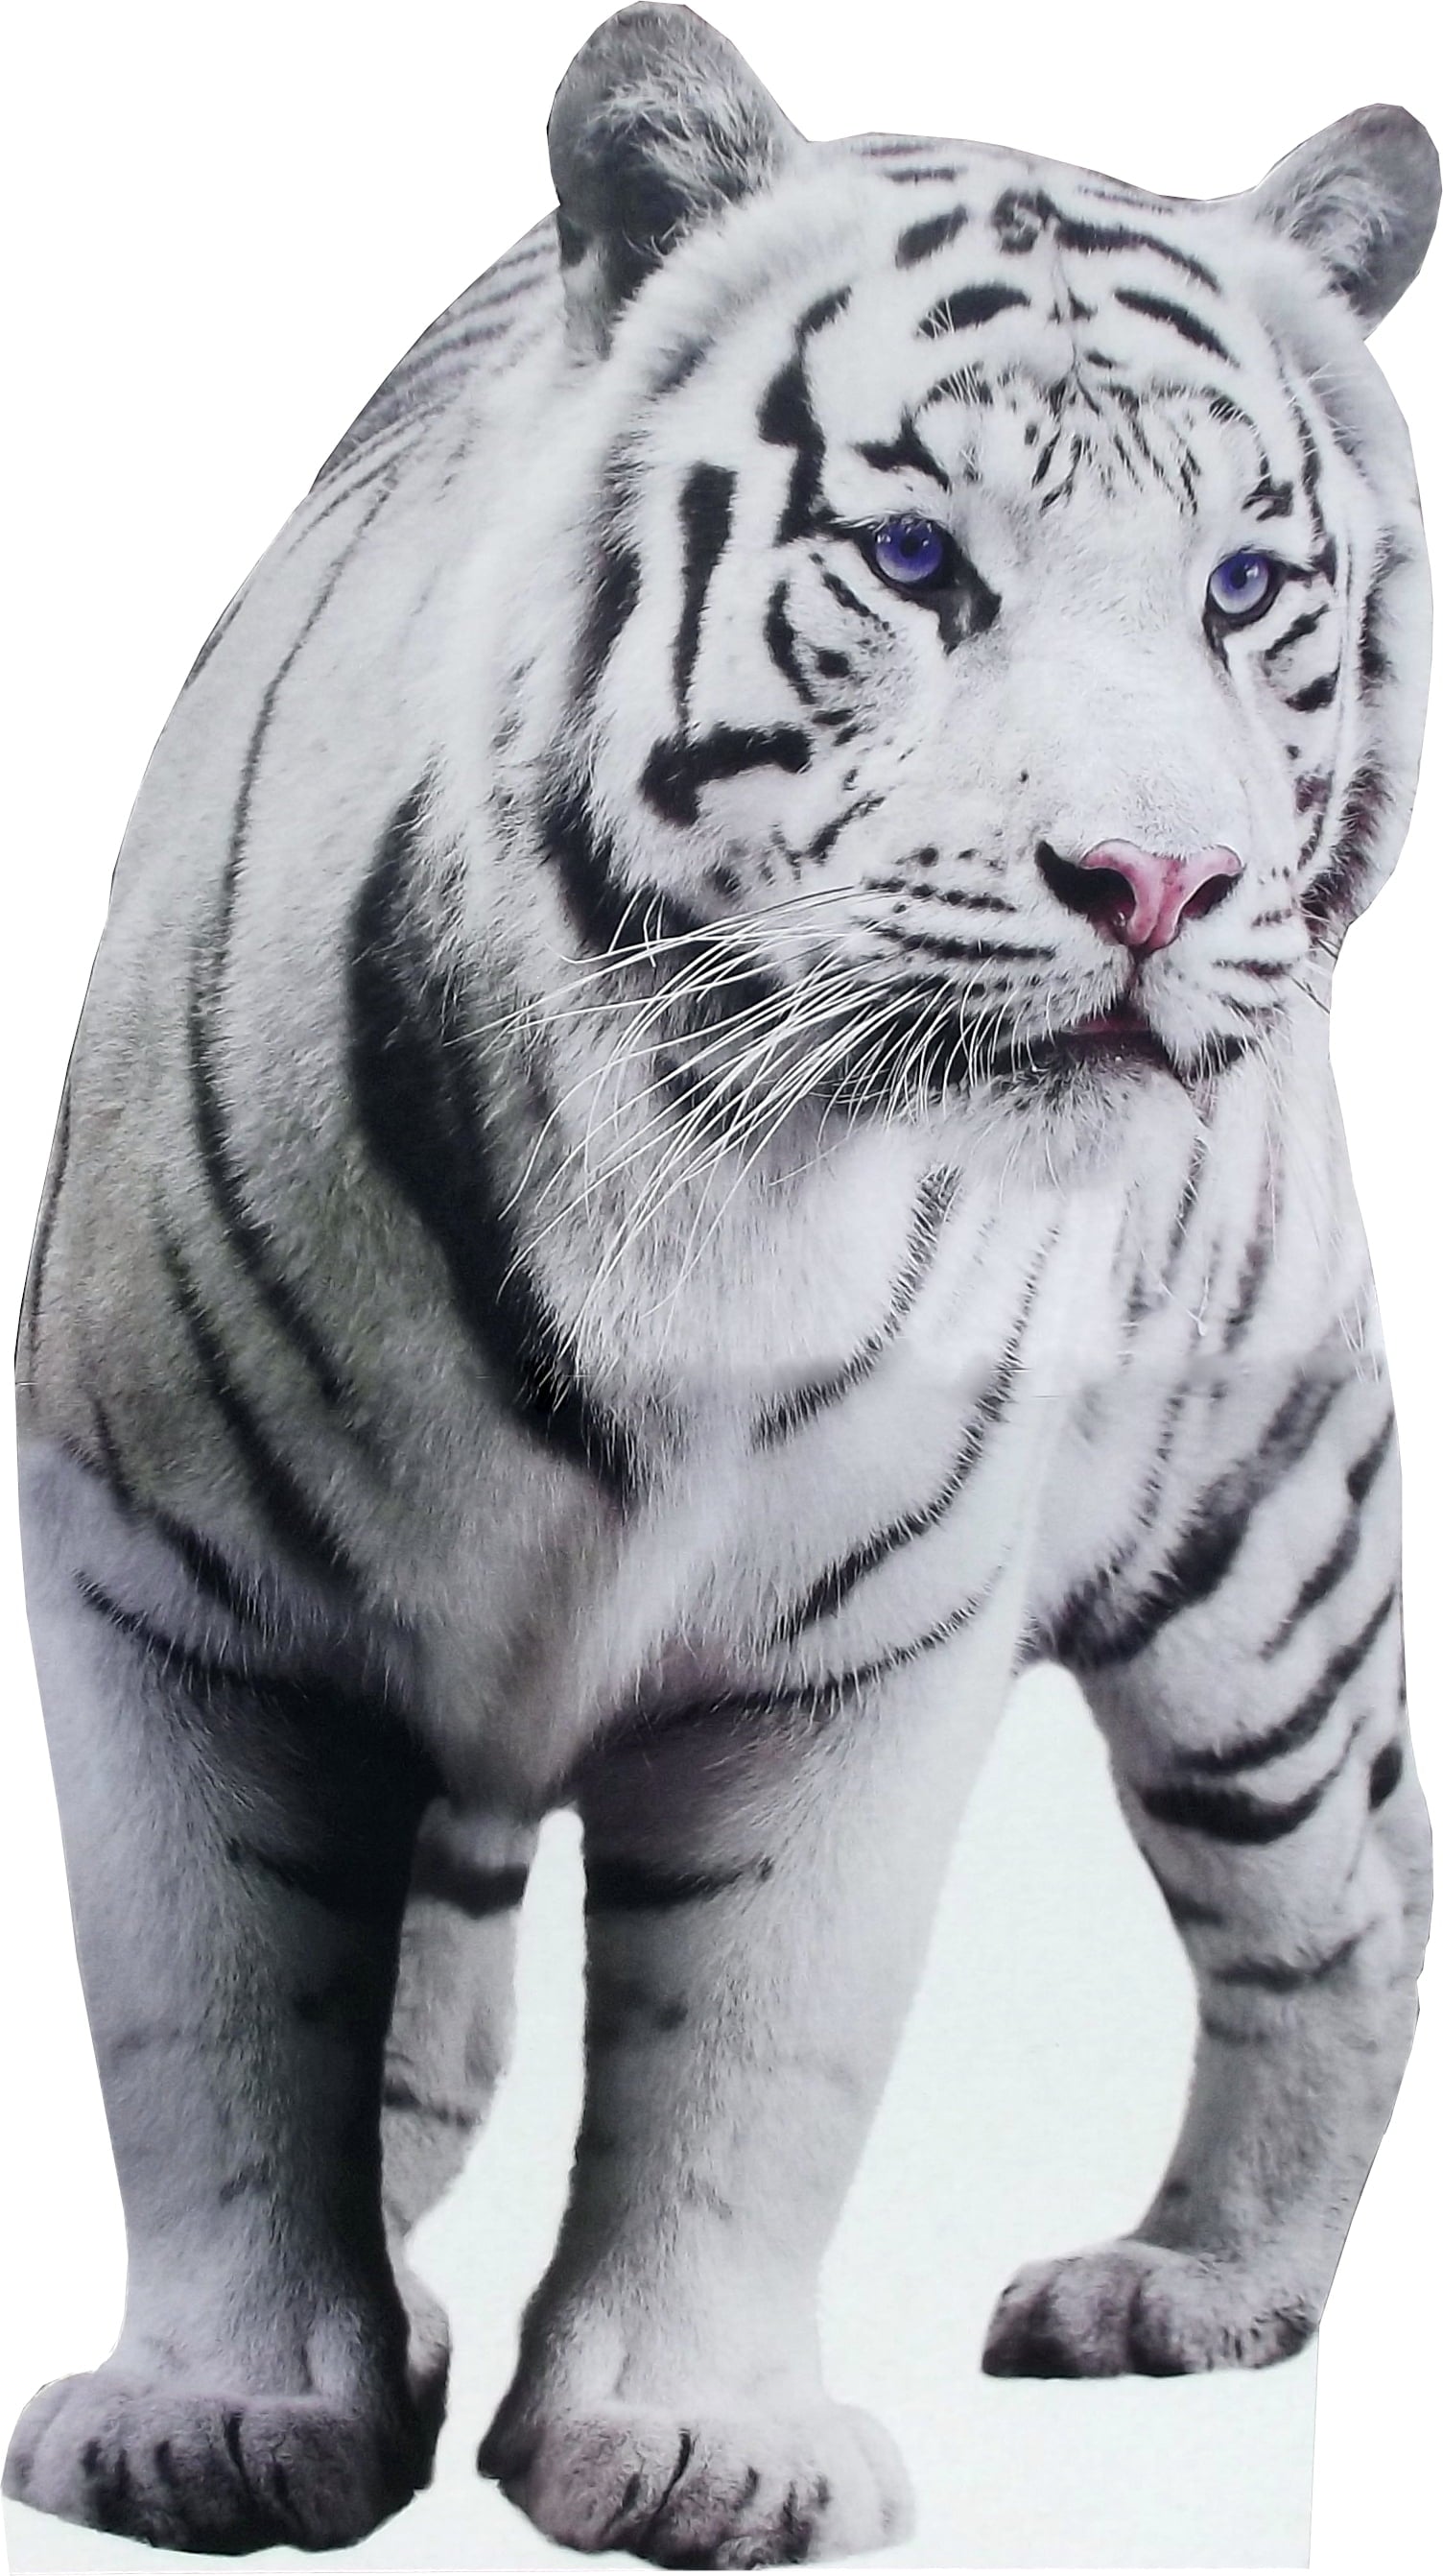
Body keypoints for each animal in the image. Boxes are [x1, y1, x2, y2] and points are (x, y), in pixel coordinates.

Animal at [4, 2, 1438, 2566]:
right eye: (913, 558)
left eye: (1245, 581)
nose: (1156, 883)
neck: (699, 1166)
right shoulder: (166, 1580)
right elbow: (219, 2011)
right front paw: (219, 2419)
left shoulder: (848, 1649)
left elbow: (747, 2050)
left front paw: (687, 2444)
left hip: (1250, 1544)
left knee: (1349, 1883)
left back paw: (1192, 2282)